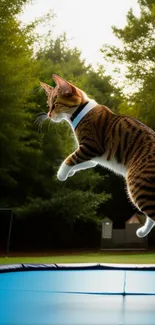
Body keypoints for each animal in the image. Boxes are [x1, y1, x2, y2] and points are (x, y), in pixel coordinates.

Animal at [40, 74, 155, 238]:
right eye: (48, 104)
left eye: (55, 104)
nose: (49, 115)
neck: (81, 112)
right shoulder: (94, 158)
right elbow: (81, 163)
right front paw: (71, 172)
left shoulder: (91, 147)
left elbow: (70, 158)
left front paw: (61, 174)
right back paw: (143, 231)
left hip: (137, 184)